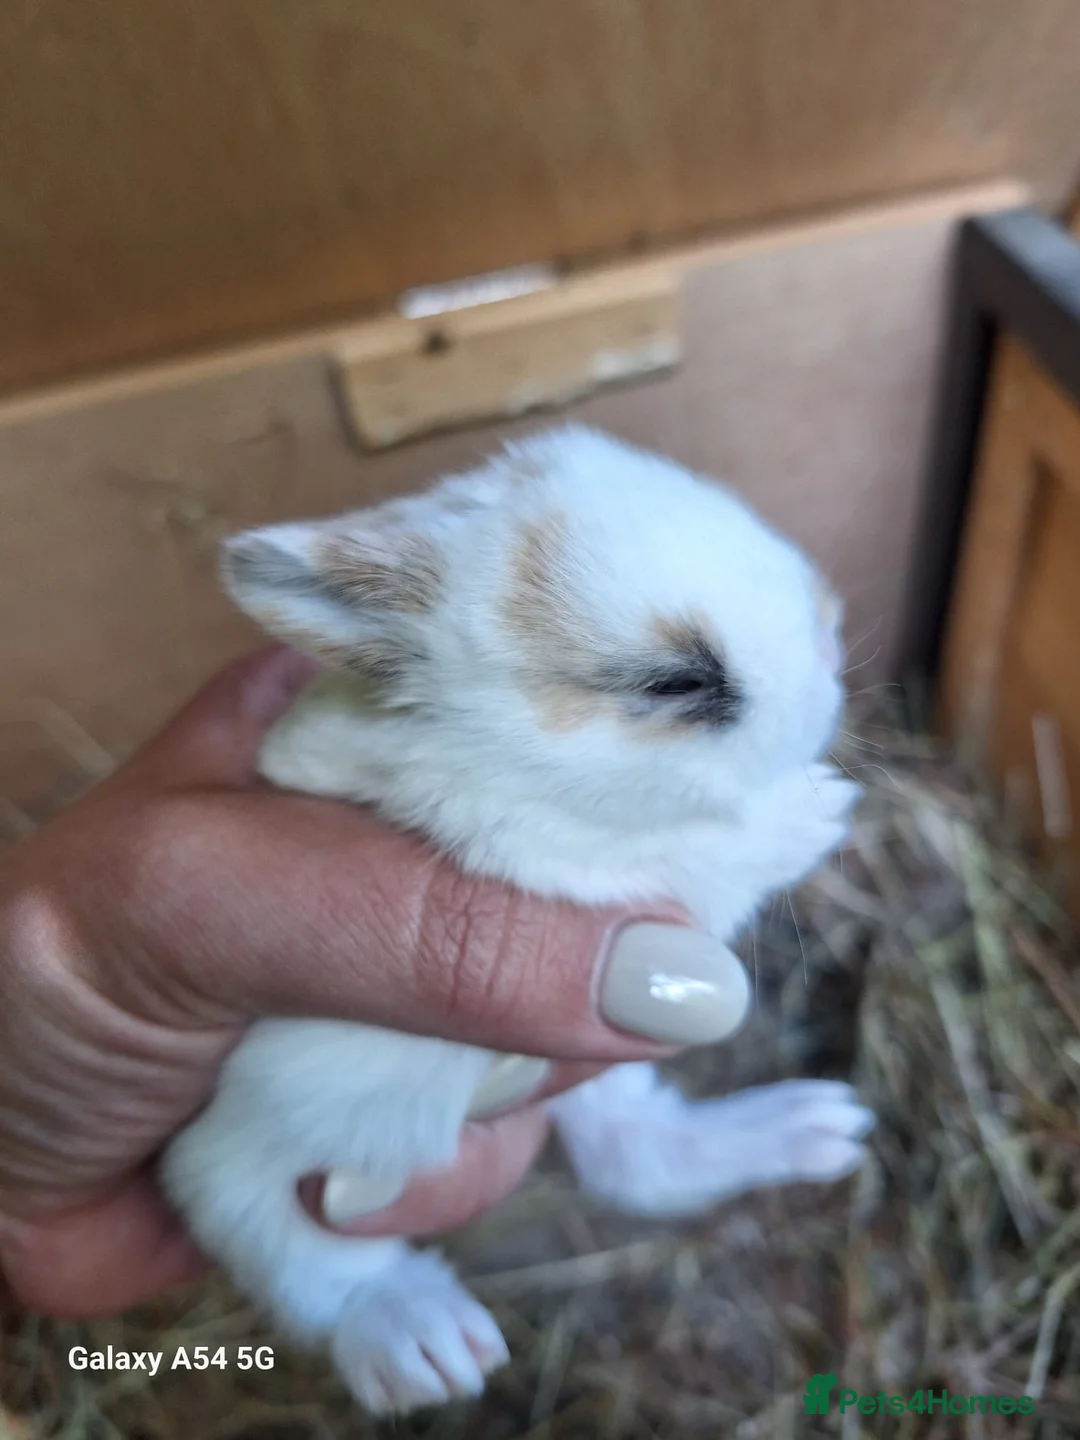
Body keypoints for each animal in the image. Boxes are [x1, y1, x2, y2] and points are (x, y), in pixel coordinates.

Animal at [160, 423, 873, 1414]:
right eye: (677, 682)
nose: (832, 660)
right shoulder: (617, 893)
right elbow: (713, 859)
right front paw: (817, 806)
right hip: (274, 1144)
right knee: (259, 1223)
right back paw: (424, 1341)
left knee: (629, 1157)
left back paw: (816, 1127)